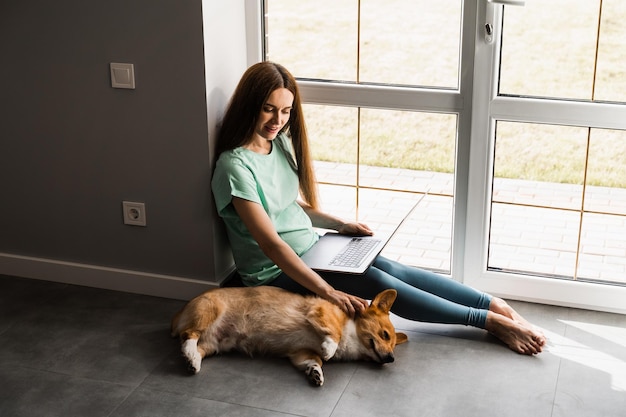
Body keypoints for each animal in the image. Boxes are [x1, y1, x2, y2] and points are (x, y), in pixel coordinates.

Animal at [168, 284, 408, 386]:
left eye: (393, 346)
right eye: (385, 335)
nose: (391, 359)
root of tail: (180, 313)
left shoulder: (300, 352)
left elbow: (315, 361)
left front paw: (316, 373)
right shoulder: (321, 314)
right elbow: (334, 333)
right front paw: (329, 348)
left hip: (217, 343)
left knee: (194, 347)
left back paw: (192, 361)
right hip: (210, 312)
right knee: (188, 334)